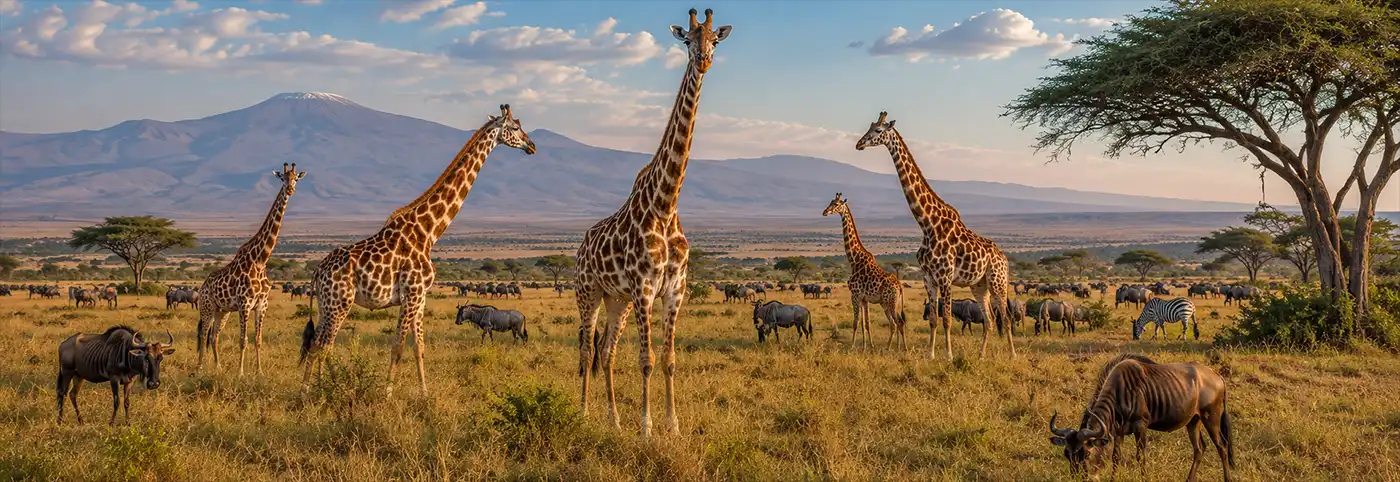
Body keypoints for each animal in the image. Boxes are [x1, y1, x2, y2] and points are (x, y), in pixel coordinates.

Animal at [197, 162, 305, 375]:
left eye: (296, 178)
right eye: (282, 178)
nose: (290, 189)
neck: (260, 260)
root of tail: (203, 285)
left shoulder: (262, 304)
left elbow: (258, 340)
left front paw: (259, 371)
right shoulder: (245, 304)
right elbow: (243, 340)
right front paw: (240, 373)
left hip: (223, 311)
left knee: (214, 336)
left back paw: (218, 367)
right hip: (207, 307)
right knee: (203, 334)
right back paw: (200, 368)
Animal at [299, 105, 535, 395]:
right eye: (515, 127)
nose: (532, 146)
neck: (428, 232)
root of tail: (318, 271)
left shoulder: (420, 296)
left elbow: (418, 347)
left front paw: (424, 394)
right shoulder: (412, 294)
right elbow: (398, 347)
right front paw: (388, 395)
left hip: (326, 305)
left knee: (317, 344)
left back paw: (318, 389)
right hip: (339, 303)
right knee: (322, 345)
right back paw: (321, 392)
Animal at [575, 8, 731, 437]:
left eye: (715, 39)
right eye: (687, 40)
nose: (703, 61)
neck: (665, 204)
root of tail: (581, 245)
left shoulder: (674, 289)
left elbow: (669, 360)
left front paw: (672, 426)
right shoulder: (644, 288)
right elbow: (645, 361)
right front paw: (646, 429)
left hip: (618, 300)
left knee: (607, 352)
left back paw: (613, 420)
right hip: (589, 291)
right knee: (586, 348)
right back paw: (585, 413)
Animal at [822, 193, 909, 351]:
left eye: (836, 204)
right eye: (830, 202)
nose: (825, 212)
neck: (854, 260)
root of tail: (899, 286)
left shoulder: (855, 295)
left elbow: (856, 323)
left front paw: (852, 347)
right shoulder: (864, 299)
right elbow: (866, 323)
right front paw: (867, 346)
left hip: (890, 302)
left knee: (897, 322)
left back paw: (896, 348)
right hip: (889, 303)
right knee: (896, 323)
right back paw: (896, 347)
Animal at [855, 111, 1016, 360]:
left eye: (878, 131)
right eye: (869, 127)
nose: (859, 144)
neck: (927, 224)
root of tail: (1004, 258)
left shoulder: (945, 277)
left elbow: (947, 319)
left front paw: (948, 356)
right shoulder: (928, 277)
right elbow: (932, 318)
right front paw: (931, 355)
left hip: (997, 281)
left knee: (1005, 318)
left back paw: (1012, 355)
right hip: (979, 285)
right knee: (989, 320)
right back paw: (981, 356)